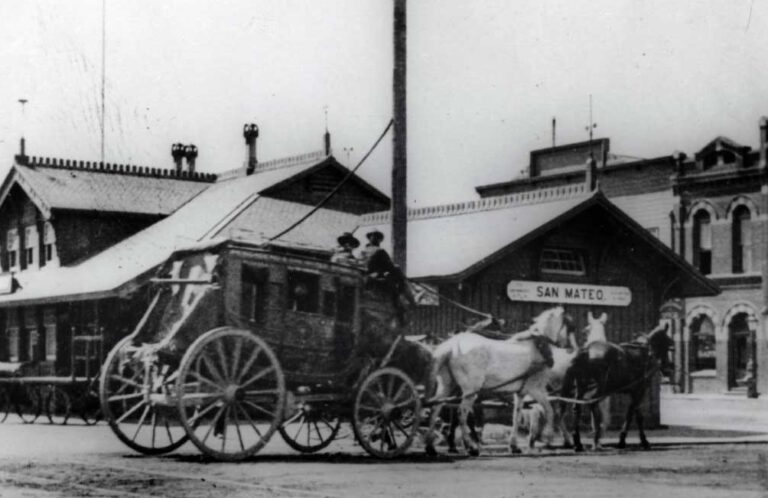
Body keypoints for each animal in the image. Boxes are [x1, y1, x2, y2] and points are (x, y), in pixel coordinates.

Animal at [426, 306, 576, 458]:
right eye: (570, 326)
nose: (572, 349)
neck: (537, 345)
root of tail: (453, 345)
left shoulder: (521, 393)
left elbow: (516, 417)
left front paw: (515, 446)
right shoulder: (536, 389)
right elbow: (550, 411)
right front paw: (547, 436)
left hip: (447, 386)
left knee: (435, 408)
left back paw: (430, 447)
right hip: (470, 391)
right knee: (461, 414)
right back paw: (470, 447)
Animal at [560, 320, 672, 454]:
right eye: (667, 344)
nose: (668, 369)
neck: (644, 353)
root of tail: (587, 350)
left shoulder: (634, 391)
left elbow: (632, 413)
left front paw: (623, 440)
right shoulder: (639, 390)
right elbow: (636, 416)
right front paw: (641, 441)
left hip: (583, 386)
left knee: (578, 407)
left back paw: (579, 442)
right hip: (599, 387)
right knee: (592, 404)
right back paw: (595, 439)